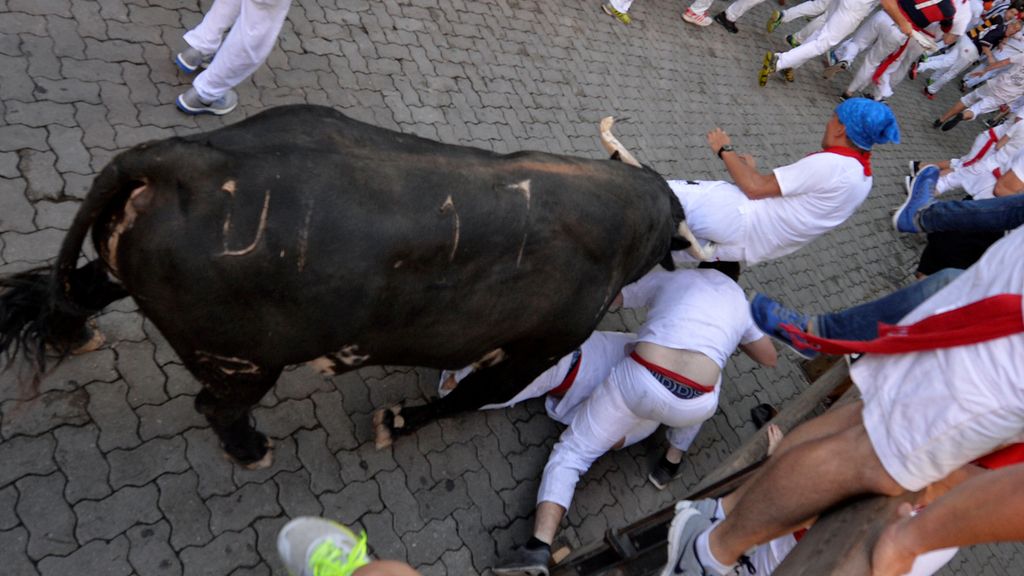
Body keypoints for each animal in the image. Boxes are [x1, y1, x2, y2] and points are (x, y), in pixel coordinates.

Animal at [2, 104, 688, 467]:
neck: (625, 215)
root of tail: (188, 157)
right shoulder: (531, 353)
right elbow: (465, 399)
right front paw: (398, 423)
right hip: (245, 361)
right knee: (216, 407)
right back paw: (253, 449)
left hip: (124, 269)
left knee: (79, 291)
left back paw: (75, 335)